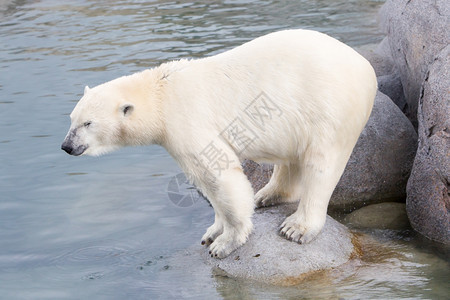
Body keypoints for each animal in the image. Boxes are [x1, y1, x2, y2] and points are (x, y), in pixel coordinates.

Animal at [59, 29, 376, 258]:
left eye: (88, 123)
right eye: (72, 119)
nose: (66, 146)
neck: (161, 94)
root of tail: (367, 68)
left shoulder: (188, 120)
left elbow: (218, 175)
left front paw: (225, 243)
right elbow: (208, 185)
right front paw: (213, 231)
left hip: (329, 109)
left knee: (321, 165)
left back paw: (297, 228)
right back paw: (267, 195)